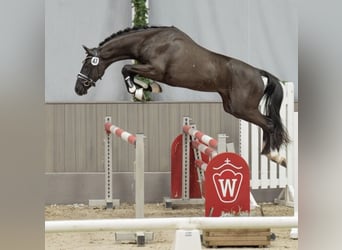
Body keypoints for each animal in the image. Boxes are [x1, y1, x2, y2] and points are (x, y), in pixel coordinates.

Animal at [75, 25, 288, 166]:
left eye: (87, 65)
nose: (78, 89)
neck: (150, 41)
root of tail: (258, 73)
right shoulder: (149, 69)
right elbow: (133, 73)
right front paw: (147, 89)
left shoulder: (155, 69)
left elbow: (126, 69)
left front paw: (137, 91)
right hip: (233, 107)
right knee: (268, 123)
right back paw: (272, 154)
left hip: (243, 108)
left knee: (269, 124)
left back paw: (275, 155)